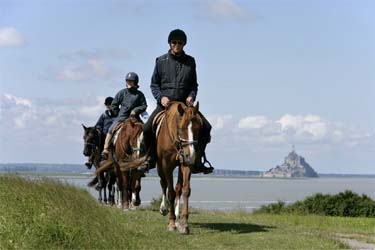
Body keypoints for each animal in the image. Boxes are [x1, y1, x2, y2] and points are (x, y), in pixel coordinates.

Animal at [156, 100, 203, 233]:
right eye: (181, 128)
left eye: (198, 128)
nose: (191, 155)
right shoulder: (167, 165)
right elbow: (170, 192)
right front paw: (171, 223)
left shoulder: (186, 164)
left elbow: (185, 190)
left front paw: (185, 224)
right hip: (160, 166)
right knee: (163, 184)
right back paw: (164, 209)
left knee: (178, 188)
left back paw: (177, 217)